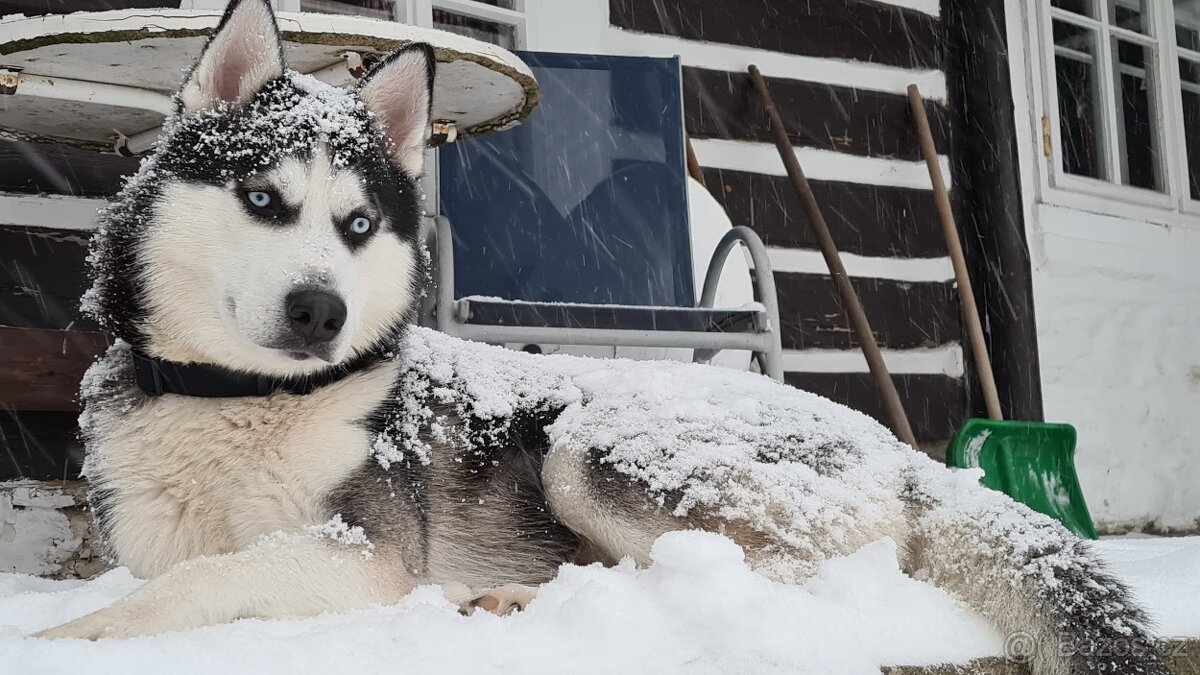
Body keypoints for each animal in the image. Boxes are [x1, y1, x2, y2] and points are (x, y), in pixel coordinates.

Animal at [32, 2, 1166, 667]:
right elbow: (167, 574)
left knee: (775, 577)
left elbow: (197, 583)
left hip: (590, 447)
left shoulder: (361, 556)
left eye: (356, 226)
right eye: (263, 200)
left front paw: (65, 636)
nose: (322, 311)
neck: (243, 397)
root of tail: (894, 446)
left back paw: (514, 600)